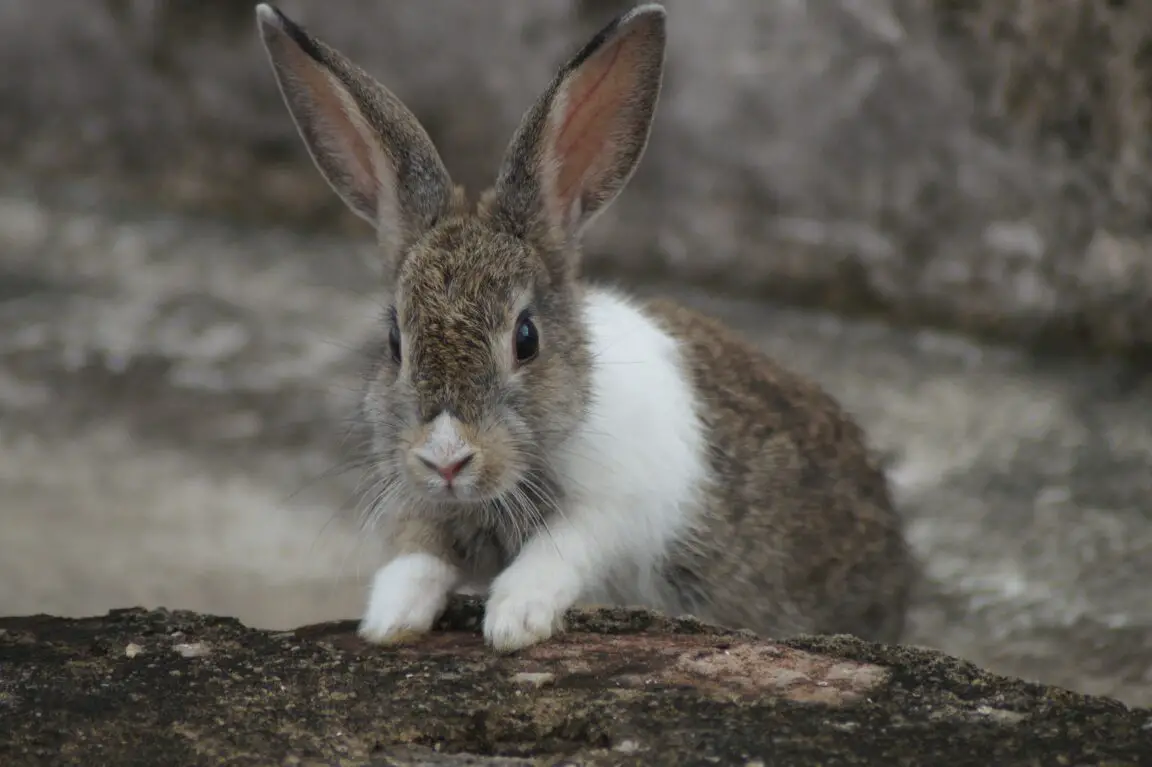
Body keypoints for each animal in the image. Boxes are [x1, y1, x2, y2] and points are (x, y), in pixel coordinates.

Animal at [255, 2, 913, 652]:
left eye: (526, 339)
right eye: (396, 342)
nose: (446, 460)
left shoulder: (614, 508)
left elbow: (560, 549)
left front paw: (514, 621)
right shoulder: (421, 500)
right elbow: (417, 553)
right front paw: (390, 620)